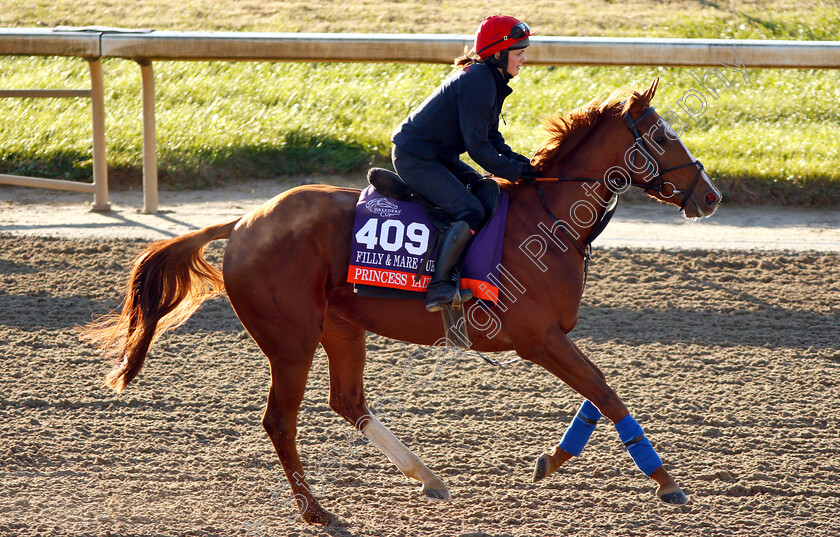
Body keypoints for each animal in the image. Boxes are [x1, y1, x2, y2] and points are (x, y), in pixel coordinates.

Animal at [82, 79, 720, 524]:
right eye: (661, 136)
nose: (709, 196)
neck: (550, 218)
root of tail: (242, 223)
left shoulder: (552, 336)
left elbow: (598, 392)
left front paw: (552, 460)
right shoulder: (536, 338)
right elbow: (605, 393)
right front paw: (666, 481)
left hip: (341, 326)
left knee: (347, 401)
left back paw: (426, 476)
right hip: (290, 340)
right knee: (281, 421)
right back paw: (318, 511)